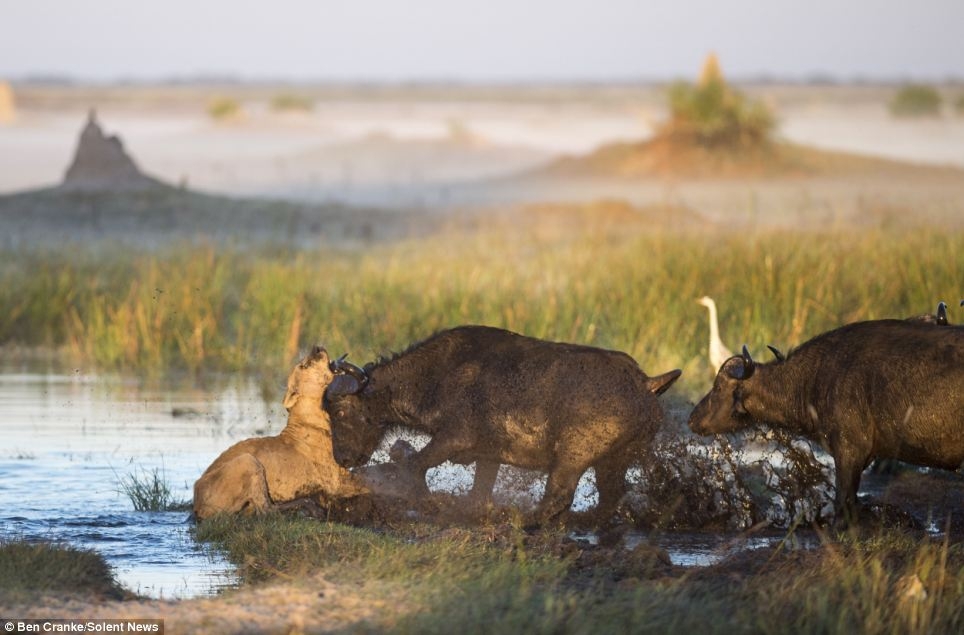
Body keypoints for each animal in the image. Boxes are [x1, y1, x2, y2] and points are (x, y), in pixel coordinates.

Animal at [324, 326, 676, 528]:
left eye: (339, 411)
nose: (342, 459)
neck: (438, 373)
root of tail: (644, 383)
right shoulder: (487, 456)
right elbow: (479, 490)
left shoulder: (454, 438)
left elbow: (413, 465)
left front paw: (431, 505)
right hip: (615, 459)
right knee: (610, 494)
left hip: (572, 458)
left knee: (559, 495)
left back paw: (524, 522)